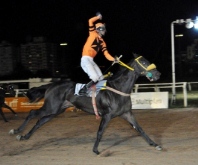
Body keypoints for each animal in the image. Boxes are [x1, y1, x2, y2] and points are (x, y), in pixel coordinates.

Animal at [8, 54, 162, 155]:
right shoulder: (107, 115)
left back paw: (25, 136)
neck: (119, 88)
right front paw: (95, 150)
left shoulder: (127, 113)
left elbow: (140, 129)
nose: (158, 74)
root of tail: (52, 85)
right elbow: (100, 132)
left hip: (56, 111)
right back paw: (16, 131)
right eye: (144, 61)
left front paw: (155, 144)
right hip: (50, 107)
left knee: (40, 121)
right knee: (32, 113)